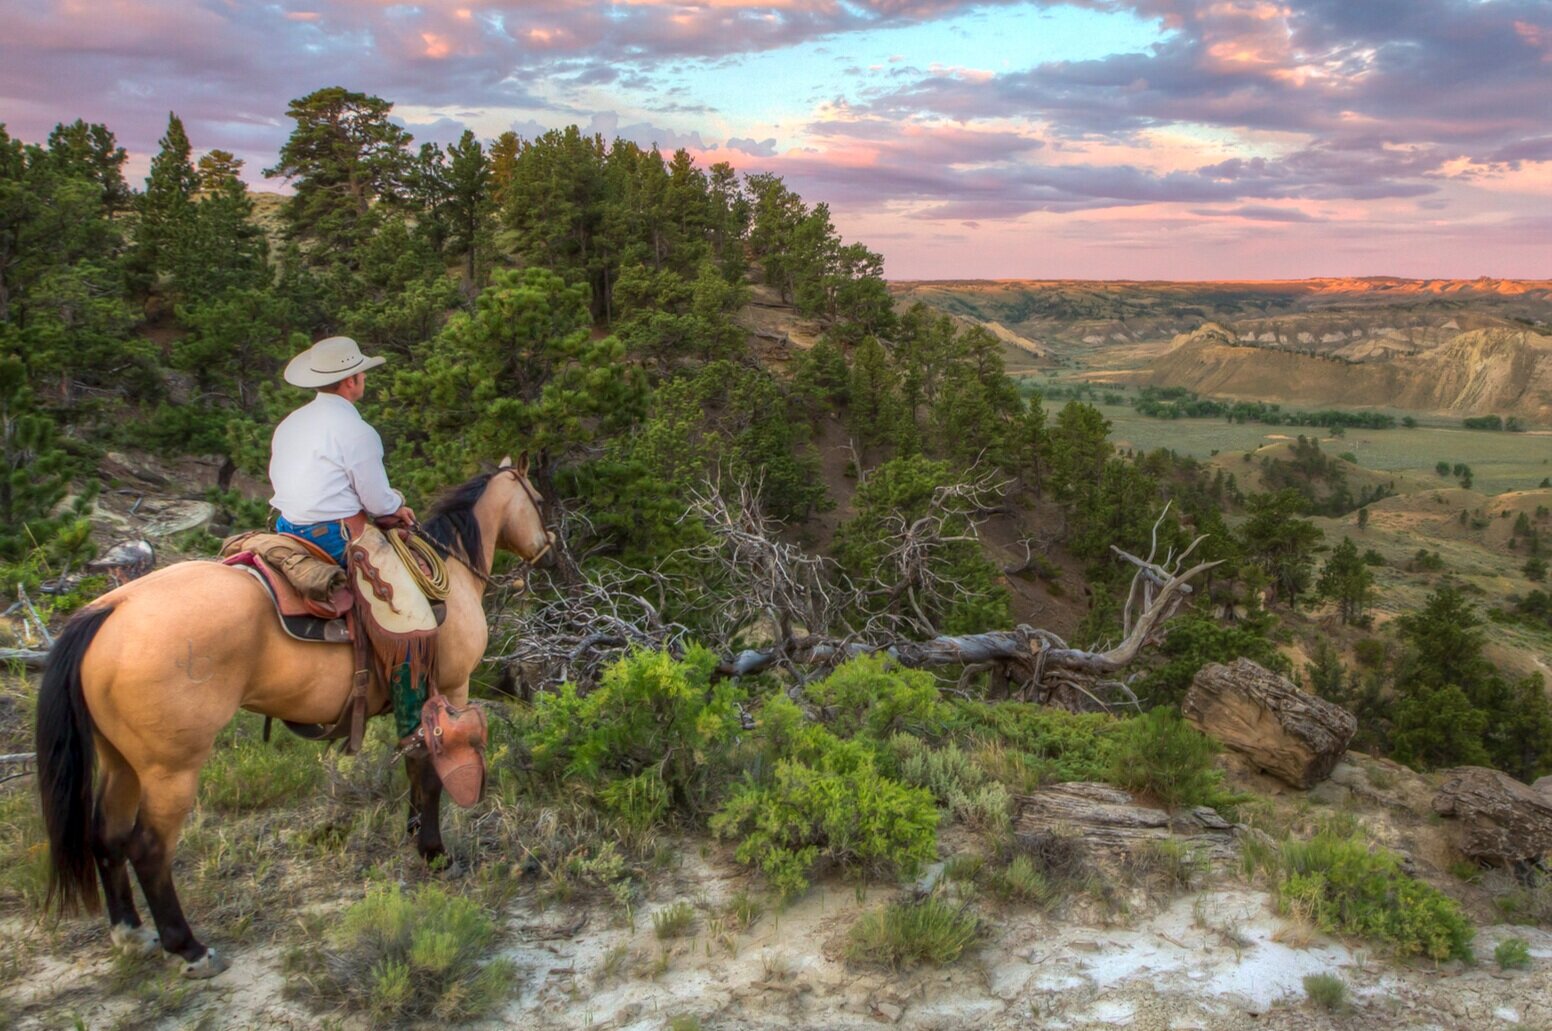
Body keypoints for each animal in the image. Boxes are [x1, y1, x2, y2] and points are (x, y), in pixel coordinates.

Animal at [31, 456, 558, 975]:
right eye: (537, 497)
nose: (549, 547)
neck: (451, 568)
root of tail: (110, 609)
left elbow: (412, 764)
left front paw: (413, 834)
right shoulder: (449, 689)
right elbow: (431, 771)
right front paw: (434, 853)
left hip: (120, 761)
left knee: (106, 835)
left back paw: (130, 932)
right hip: (170, 770)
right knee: (148, 848)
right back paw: (190, 948)